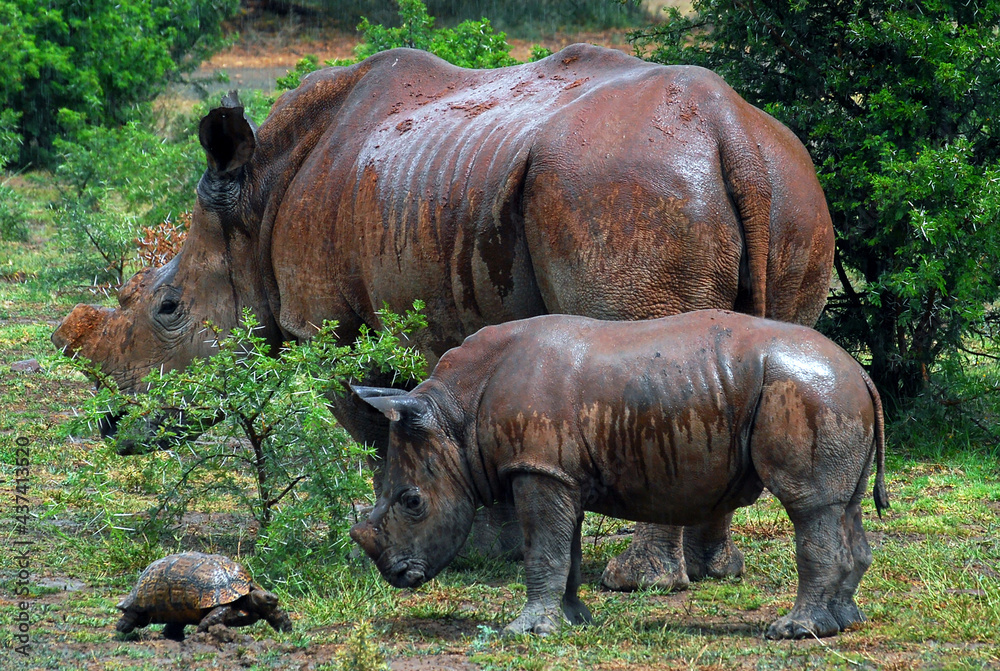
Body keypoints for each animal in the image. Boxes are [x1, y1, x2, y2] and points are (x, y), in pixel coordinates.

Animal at [51, 45, 834, 593]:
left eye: (168, 309)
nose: (112, 426)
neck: (256, 195)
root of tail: (732, 132)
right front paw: (501, 547)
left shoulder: (332, 328)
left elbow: (378, 432)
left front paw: (441, 545)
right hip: (790, 190)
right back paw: (713, 570)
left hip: (625, 190)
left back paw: (638, 583)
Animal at [350, 310, 889, 639]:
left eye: (412, 502)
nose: (396, 576)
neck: (452, 414)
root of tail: (860, 371)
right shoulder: (559, 473)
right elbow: (564, 550)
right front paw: (574, 622)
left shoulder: (538, 469)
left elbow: (542, 549)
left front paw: (524, 633)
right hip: (833, 395)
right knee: (845, 506)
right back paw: (846, 623)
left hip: (808, 391)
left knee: (810, 506)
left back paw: (794, 631)